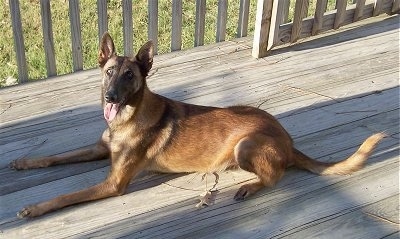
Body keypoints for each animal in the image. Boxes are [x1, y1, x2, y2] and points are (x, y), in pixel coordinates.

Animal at [12, 32, 386, 218]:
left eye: (130, 76)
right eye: (108, 72)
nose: (111, 97)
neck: (127, 118)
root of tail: (289, 141)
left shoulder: (114, 183)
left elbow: (66, 196)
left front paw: (34, 208)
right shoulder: (98, 149)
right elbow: (57, 157)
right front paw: (24, 162)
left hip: (247, 144)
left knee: (275, 176)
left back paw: (250, 187)